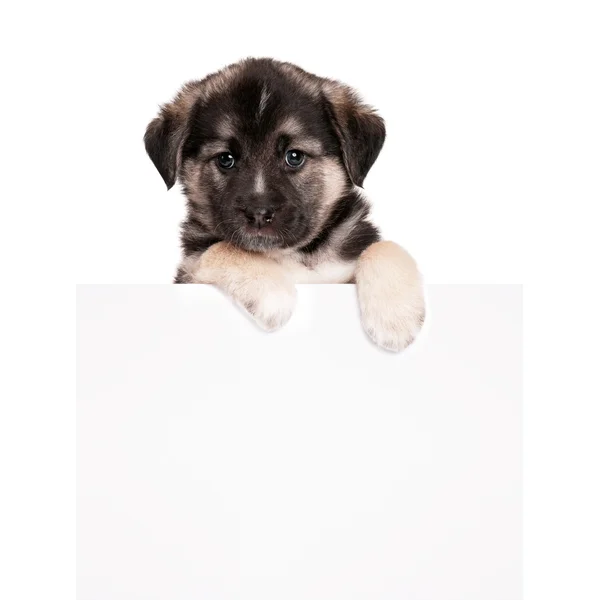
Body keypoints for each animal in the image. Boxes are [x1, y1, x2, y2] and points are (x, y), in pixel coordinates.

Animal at [146, 58, 428, 350]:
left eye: (294, 156)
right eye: (225, 159)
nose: (258, 213)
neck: (291, 254)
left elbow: (383, 247)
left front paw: (396, 320)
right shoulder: (190, 270)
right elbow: (221, 248)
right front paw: (273, 295)